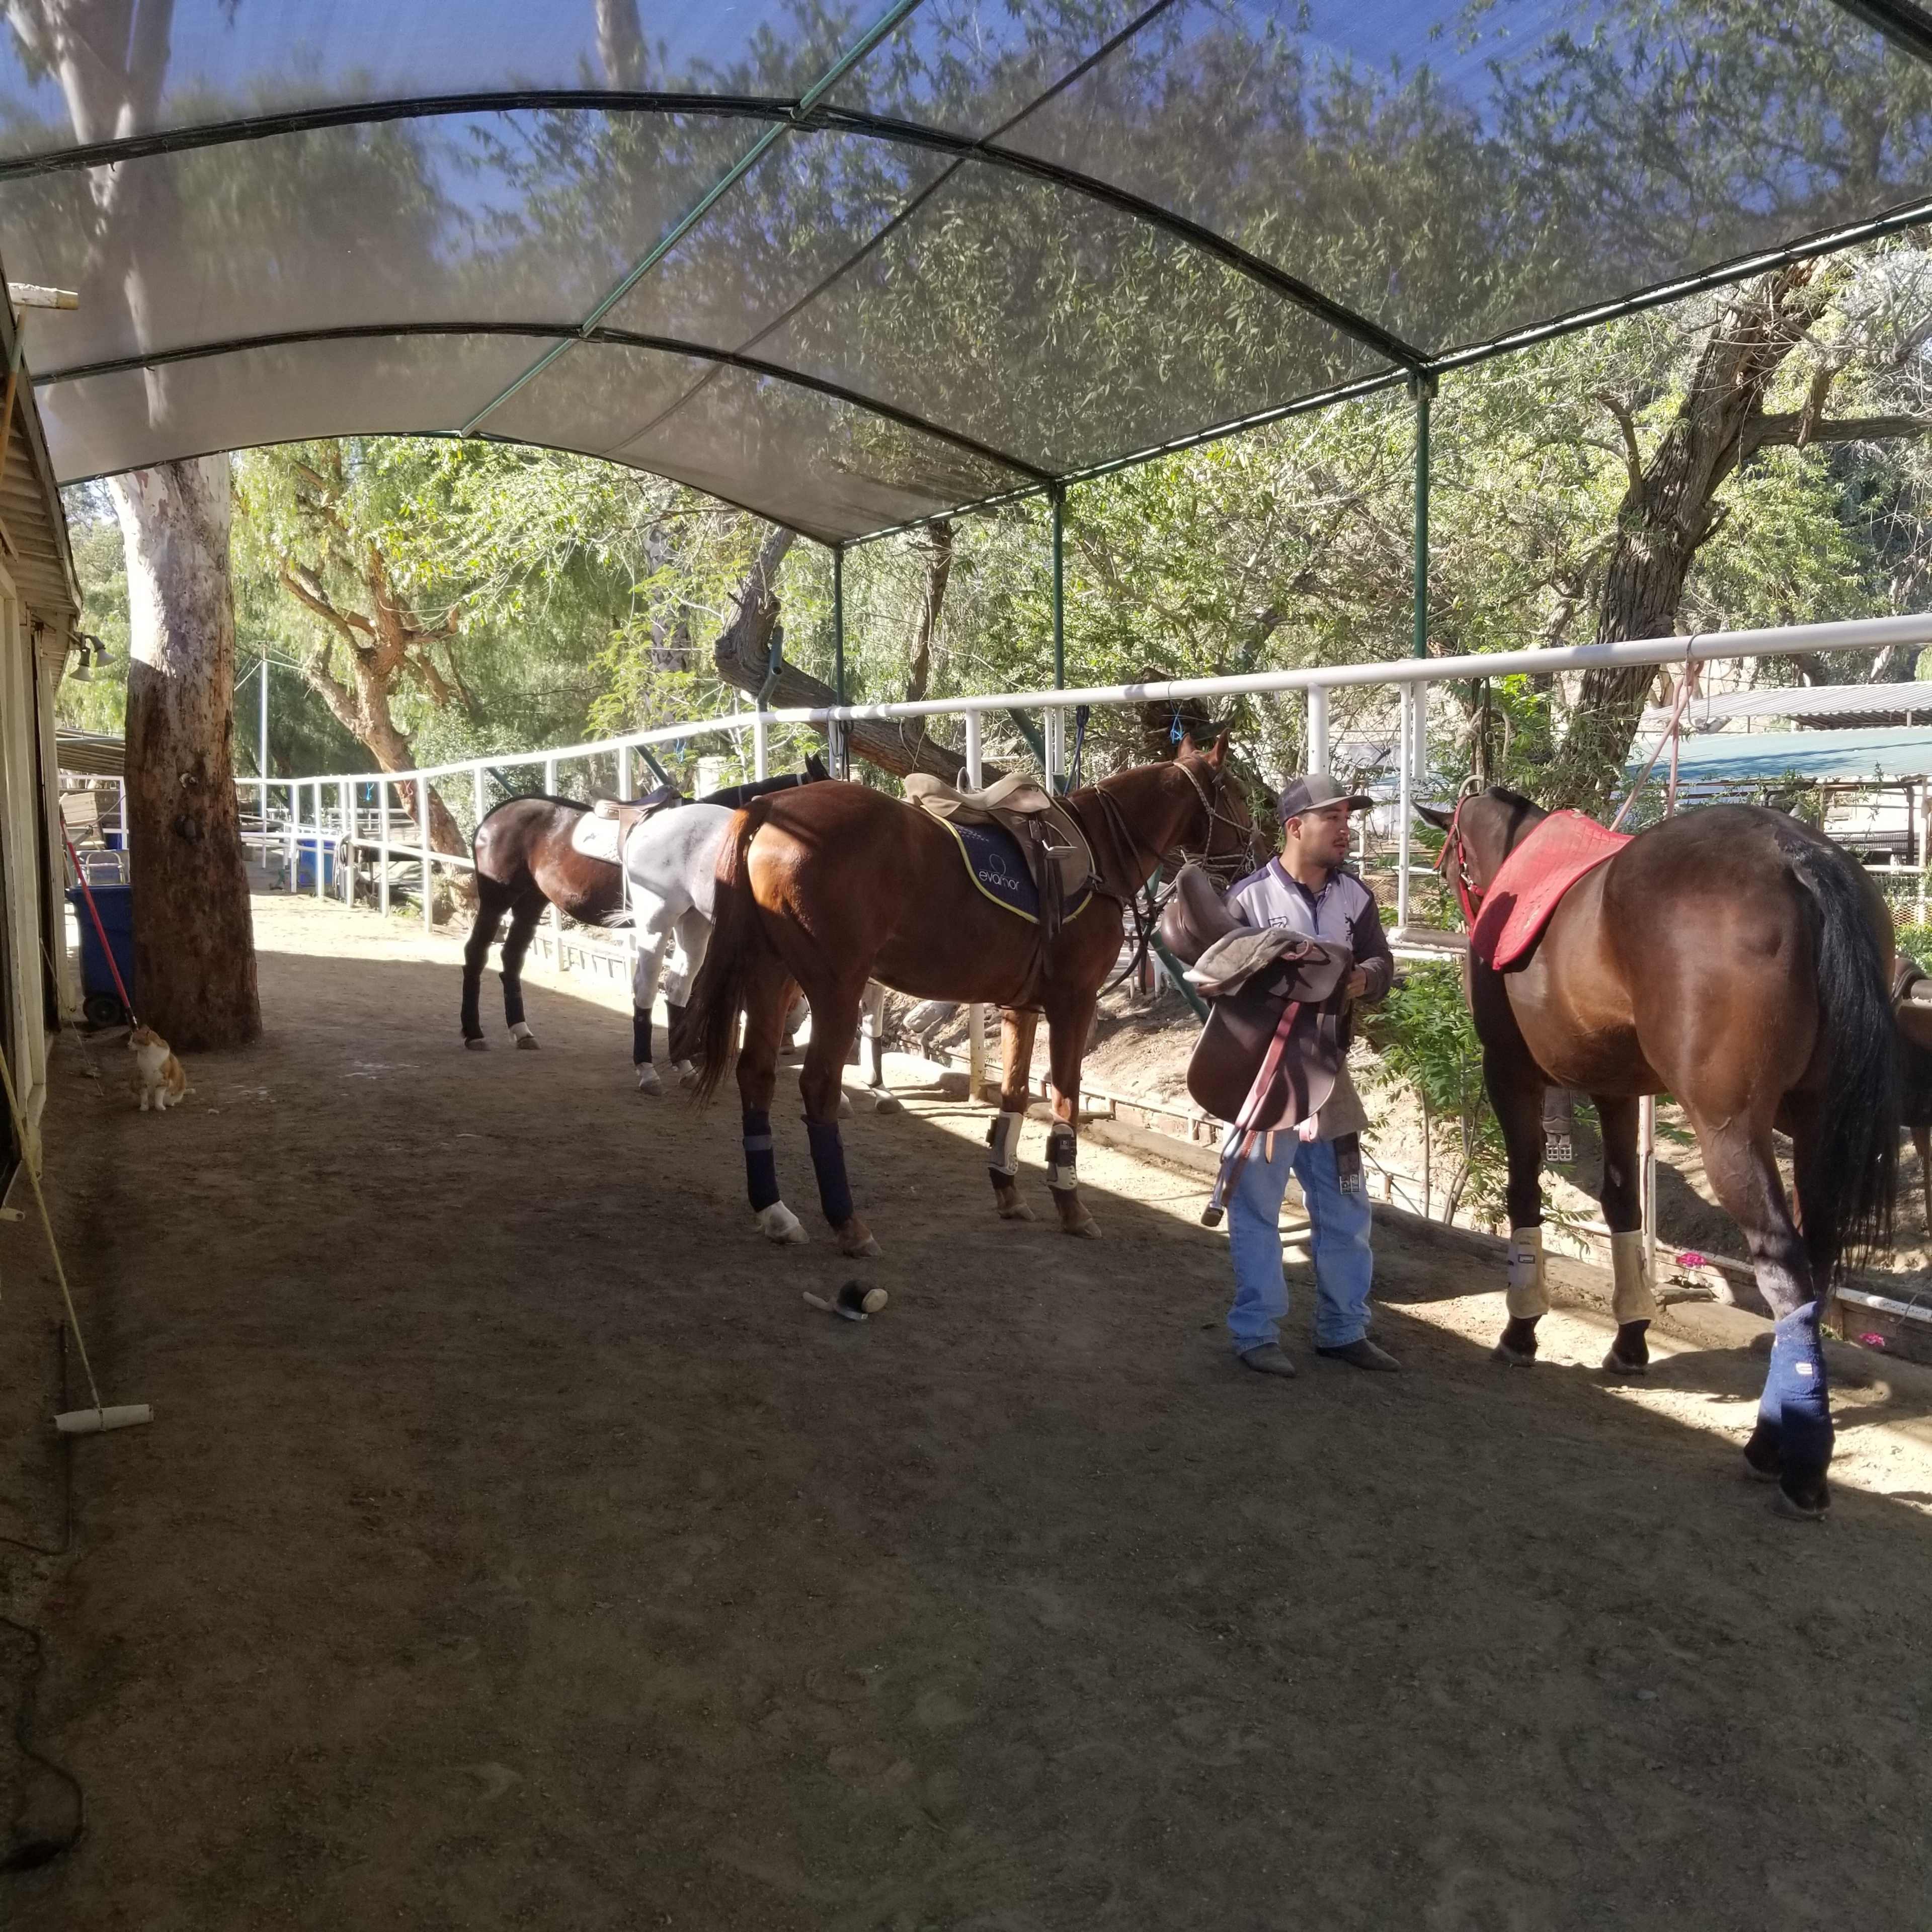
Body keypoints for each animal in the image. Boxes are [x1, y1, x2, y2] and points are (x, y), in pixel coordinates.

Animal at [682, 733, 1263, 1252]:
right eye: (1235, 790)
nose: (1256, 855)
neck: (1096, 848)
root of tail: (767, 808)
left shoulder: (1021, 1006)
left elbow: (1014, 1094)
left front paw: (1008, 1191)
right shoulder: (1074, 1001)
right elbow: (1065, 1098)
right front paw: (1071, 1205)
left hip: (770, 975)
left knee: (756, 1073)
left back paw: (775, 1211)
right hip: (835, 988)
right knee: (818, 1086)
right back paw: (847, 1223)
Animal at [1421, 788, 1899, 1519]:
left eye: (1453, 863)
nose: (1465, 916)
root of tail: (1796, 856)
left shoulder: (1510, 1073)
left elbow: (1524, 1193)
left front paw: (1521, 1329)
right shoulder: (1617, 1089)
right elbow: (1623, 1204)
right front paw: (1631, 1338)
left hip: (1730, 1131)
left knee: (1785, 1271)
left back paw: (1795, 1464)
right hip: (1817, 1121)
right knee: (1815, 1265)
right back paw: (1777, 1438)